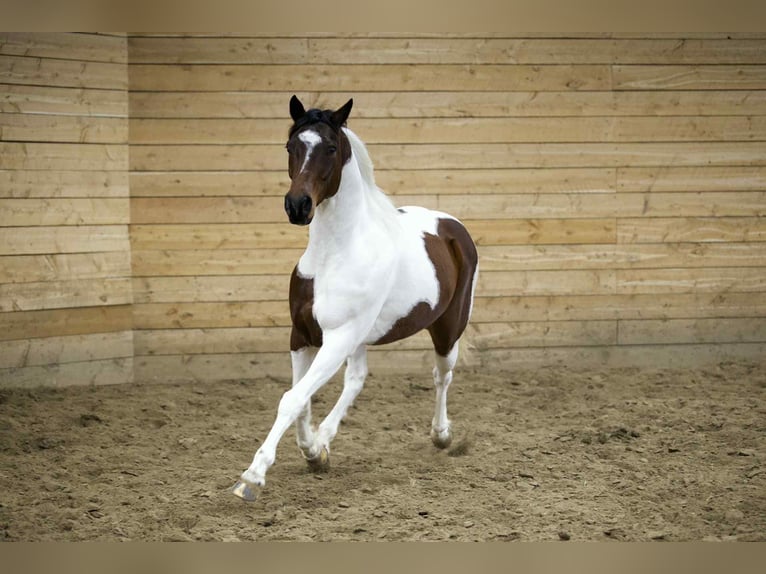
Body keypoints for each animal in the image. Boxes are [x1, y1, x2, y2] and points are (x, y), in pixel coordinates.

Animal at [232, 95, 479, 501]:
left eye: (331, 148)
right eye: (291, 146)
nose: (297, 206)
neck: (334, 254)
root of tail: (451, 225)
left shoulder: (338, 336)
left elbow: (293, 399)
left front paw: (252, 477)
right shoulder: (303, 336)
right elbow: (301, 398)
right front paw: (313, 451)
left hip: (447, 327)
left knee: (442, 374)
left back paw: (442, 435)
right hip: (361, 338)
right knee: (357, 379)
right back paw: (323, 442)